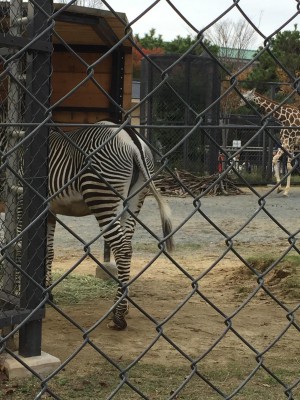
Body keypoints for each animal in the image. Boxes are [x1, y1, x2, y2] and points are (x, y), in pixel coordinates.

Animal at [0, 120, 173, 330]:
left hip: (102, 194)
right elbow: (48, 252)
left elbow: (20, 246)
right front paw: (47, 294)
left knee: (121, 248)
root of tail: (131, 139)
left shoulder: (22, 200)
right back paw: (121, 307)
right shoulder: (49, 211)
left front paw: (18, 293)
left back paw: (119, 316)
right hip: (134, 200)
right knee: (127, 246)